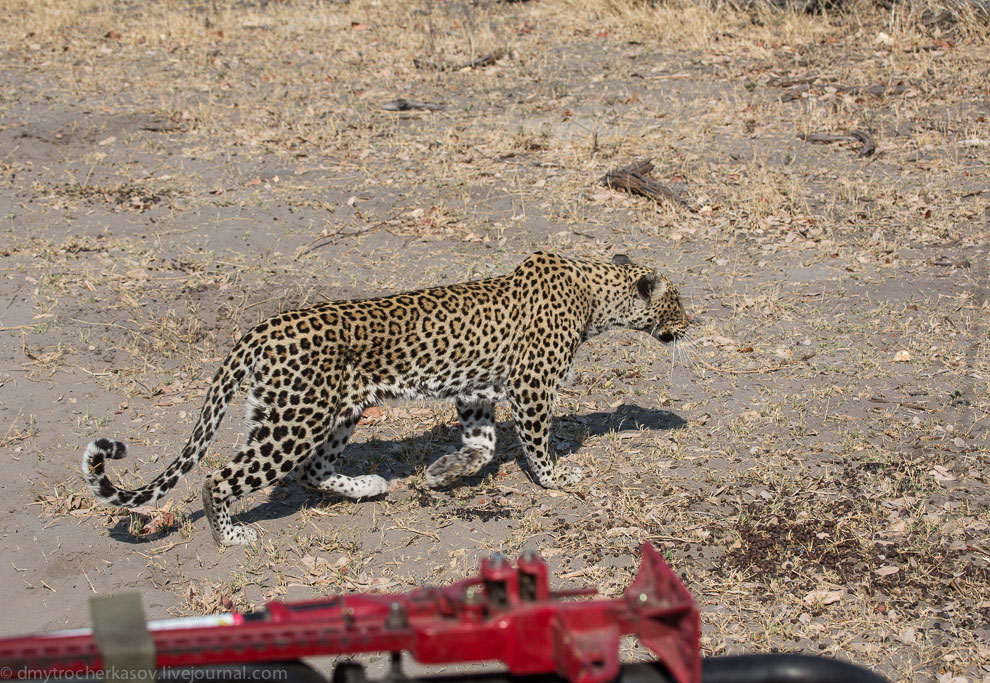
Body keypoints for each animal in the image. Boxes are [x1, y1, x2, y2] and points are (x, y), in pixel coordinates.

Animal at [83, 254, 688, 548]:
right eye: (678, 303)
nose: (691, 324)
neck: (596, 298)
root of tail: (259, 330)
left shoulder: (475, 390)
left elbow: (482, 445)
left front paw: (442, 474)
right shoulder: (533, 386)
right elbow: (534, 442)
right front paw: (557, 478)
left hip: (336, 412)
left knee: (312, 471)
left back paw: (368, 486)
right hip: (293, 421)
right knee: (222, 475)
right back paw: (230, 534)